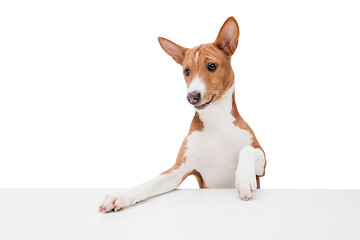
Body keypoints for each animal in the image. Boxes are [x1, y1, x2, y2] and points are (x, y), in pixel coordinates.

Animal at [100, 15, 266, 213]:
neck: (216, 121)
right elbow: (150, 183)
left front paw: (244, 180)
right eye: (186, 71)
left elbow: (246, 149)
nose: (192, 96)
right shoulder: (179, 170)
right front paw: (124, 195)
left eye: (212, 66)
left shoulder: (261, 158)